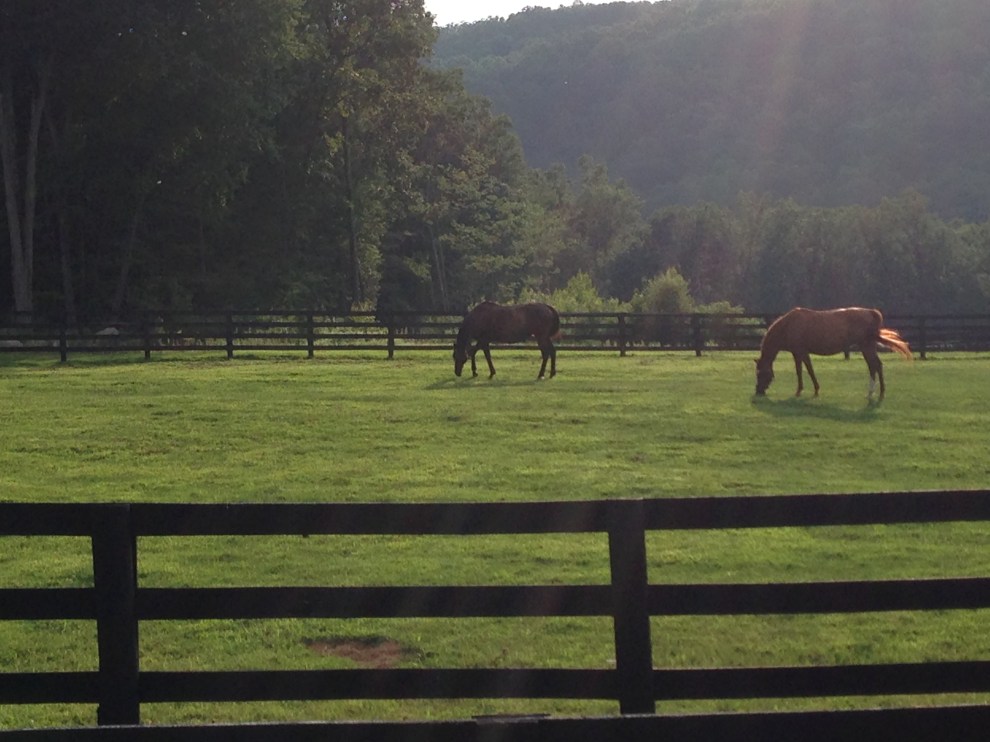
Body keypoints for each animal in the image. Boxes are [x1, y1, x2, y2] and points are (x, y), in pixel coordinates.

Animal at [755, 307, 912, 400]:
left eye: (760, 374)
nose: (758, 391)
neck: (788, 325)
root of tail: (871, 312)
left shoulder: (800, 352)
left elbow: (805, 370)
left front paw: (805, 391)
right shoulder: (799, 353)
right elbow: (804, 370)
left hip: (866, 346)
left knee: (875, 366)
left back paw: (877, 392)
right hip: (868, 346)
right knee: (874, 366)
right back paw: (873, 392)